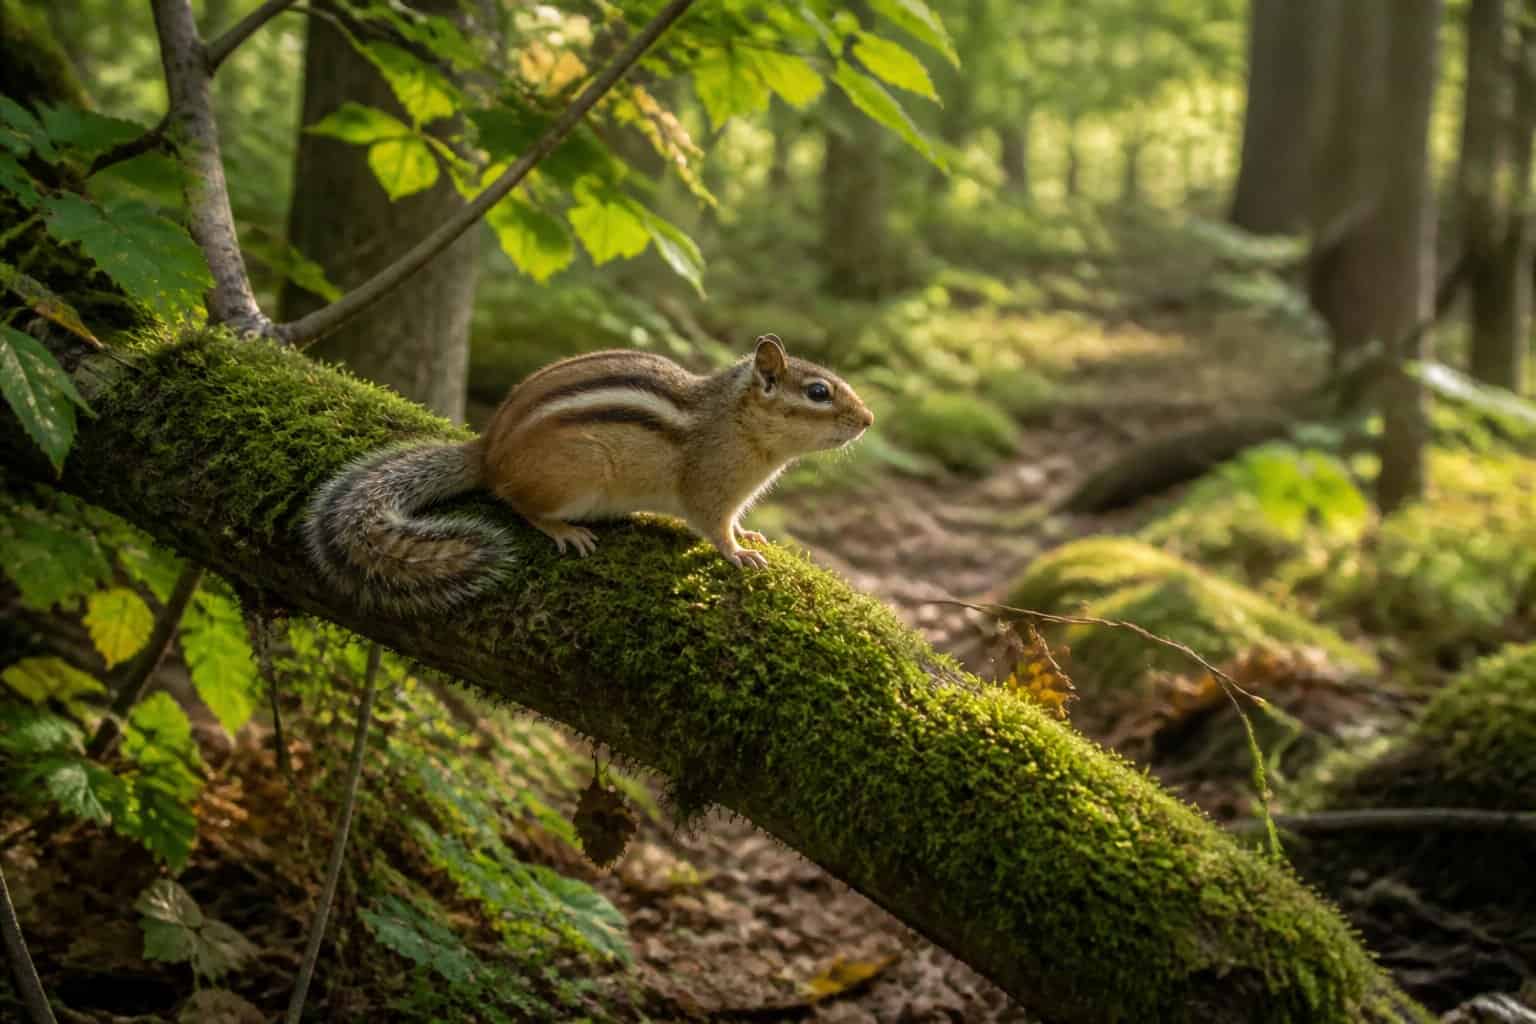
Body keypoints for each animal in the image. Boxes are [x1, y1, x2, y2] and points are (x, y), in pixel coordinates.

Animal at [301, 334, 874, 613]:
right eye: (819, 392)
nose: (869, 420)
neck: (731, 421)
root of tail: (487, 450)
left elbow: (732, 521)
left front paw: (750, 534)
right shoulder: (709, 487)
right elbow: (713, 526)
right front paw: (738, 552)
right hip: (577, 473)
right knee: (514, 499)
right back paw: (563, 529)